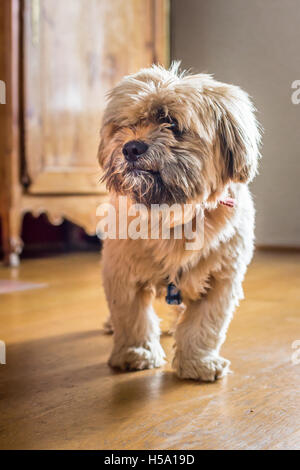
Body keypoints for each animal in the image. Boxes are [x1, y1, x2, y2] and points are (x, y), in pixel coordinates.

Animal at [98, 62, 260, 380]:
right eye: (125, 125)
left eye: (171, 124)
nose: (131, 147)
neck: (175, 212)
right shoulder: (121, 273)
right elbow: (131, 319)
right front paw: (136, 354)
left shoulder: (221, 280)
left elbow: (204, 326)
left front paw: (198, 363)